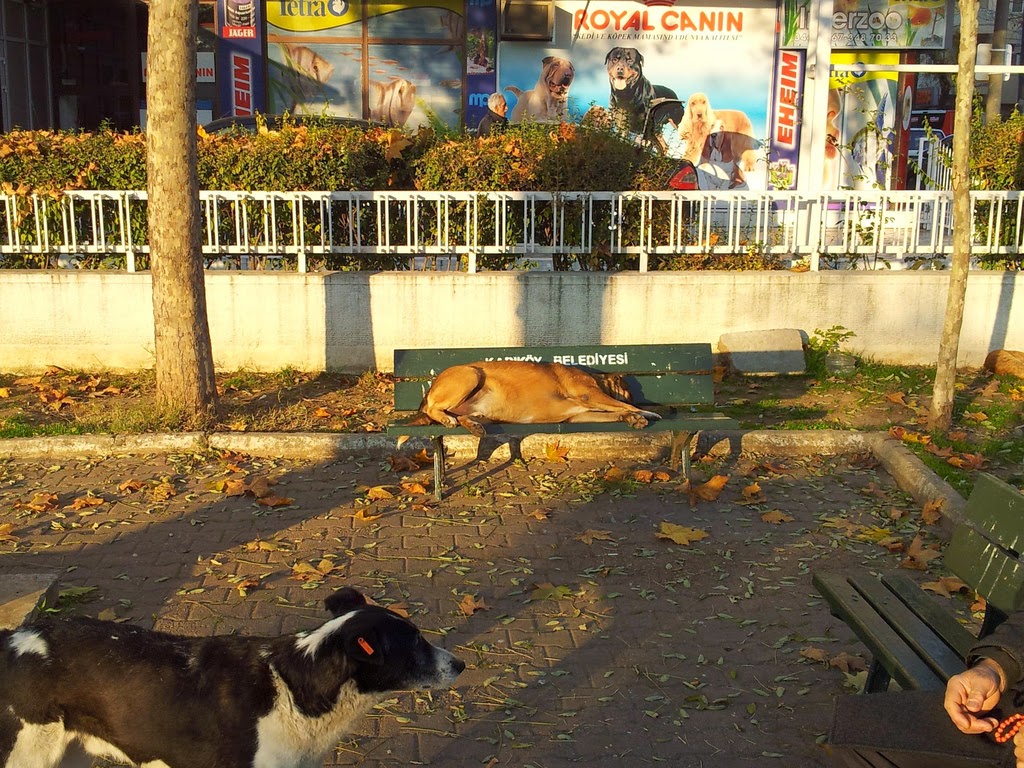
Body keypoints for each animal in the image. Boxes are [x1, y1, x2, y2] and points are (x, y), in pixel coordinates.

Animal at [403, 362, 659, 438]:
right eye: (630, 390)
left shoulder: (579, 415)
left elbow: (619, 411)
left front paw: (633, 418)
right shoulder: (590, 394)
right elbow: (625, 405)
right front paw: (645, 412)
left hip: (482, 413)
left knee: (467, 417)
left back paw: (472, 425)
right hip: (470, 374)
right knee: (434, 409)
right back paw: (446, 420)